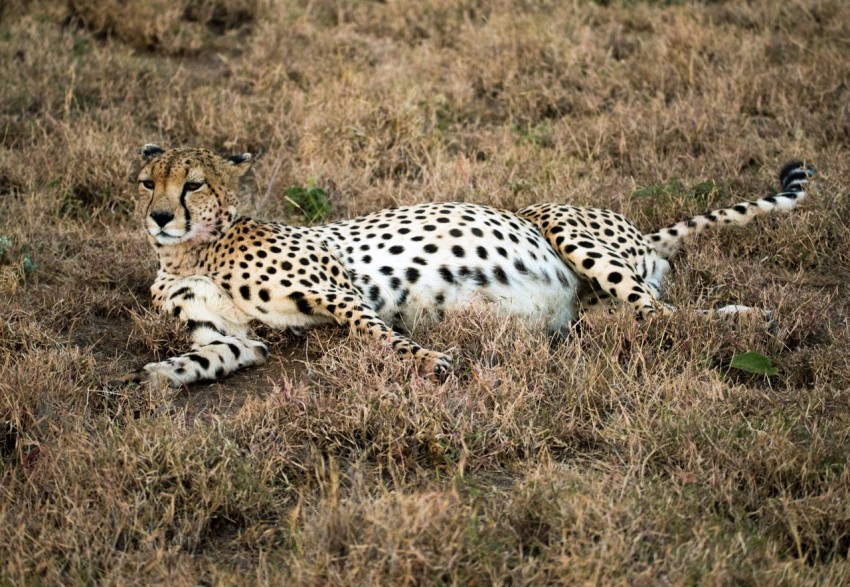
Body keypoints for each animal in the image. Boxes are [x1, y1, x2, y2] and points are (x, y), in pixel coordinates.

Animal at [121, 144, 812, 388]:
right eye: (147, 182)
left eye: (193, 184)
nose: (159, 217)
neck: (189, 249)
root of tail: (639, 232)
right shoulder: (236, 337)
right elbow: (210, 354)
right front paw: (162, 375)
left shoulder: (342, 293)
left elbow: (381, 335)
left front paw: (432, 362)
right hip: (587, 312)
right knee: (652, 315)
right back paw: (749, 318)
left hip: (566, 229)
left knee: (666, 315)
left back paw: (751, 326)